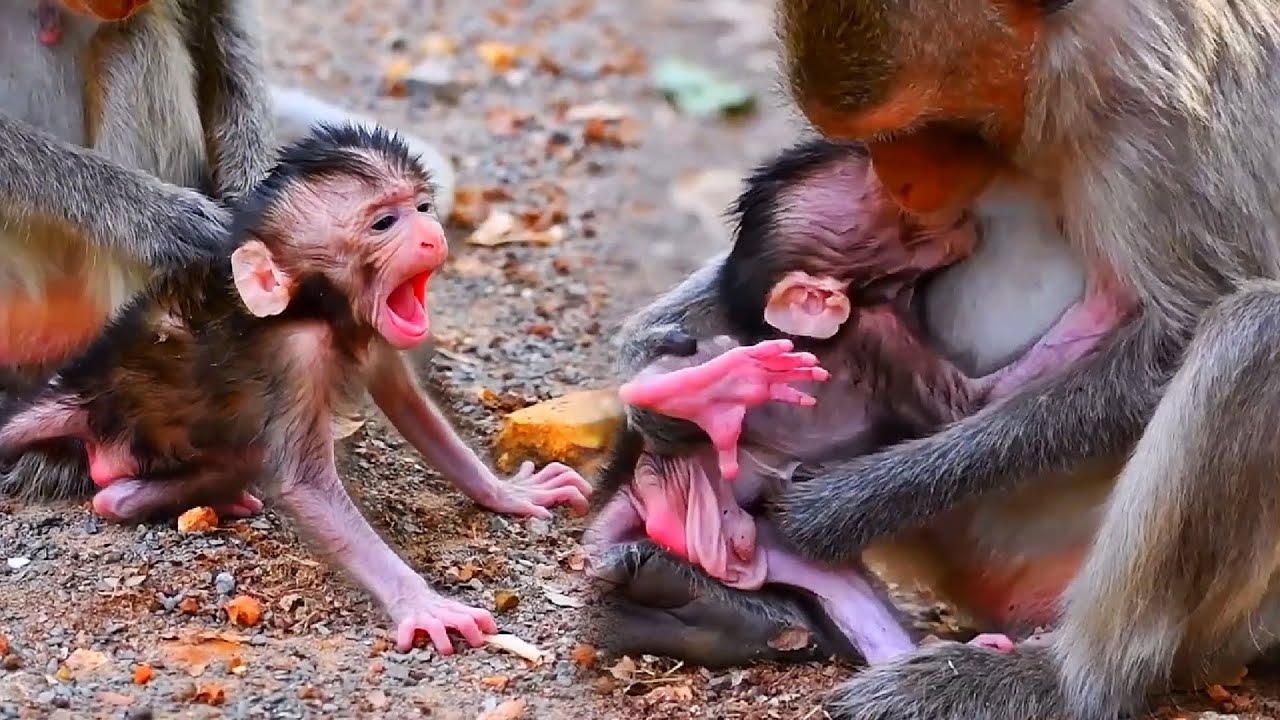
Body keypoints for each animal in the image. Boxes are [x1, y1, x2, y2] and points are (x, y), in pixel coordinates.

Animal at [0, 123, 592, 653]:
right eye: (383, 222)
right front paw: (421, 603)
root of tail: (88, 393)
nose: (430, 234)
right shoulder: (296, 357)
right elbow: (308, 487)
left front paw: (507, 493)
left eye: (422, 207)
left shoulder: (379, 338)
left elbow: (410, 407)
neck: (321, 311)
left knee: (136, 491)